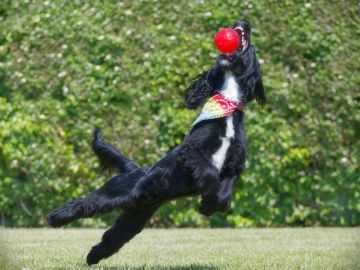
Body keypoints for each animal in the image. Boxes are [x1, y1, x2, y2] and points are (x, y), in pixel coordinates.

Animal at [47, 20, 264, 264]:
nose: (242, 22)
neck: (227, 103)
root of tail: (137, 170)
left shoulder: (234, 164)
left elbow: (225, 195)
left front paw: (208, 205)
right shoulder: (190, 151)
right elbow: (209, 174)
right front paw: (207, 198)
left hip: (136, 216)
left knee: (113, 237)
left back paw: (92, 257)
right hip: (115, 191)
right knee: (86, 204)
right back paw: (55, 217)